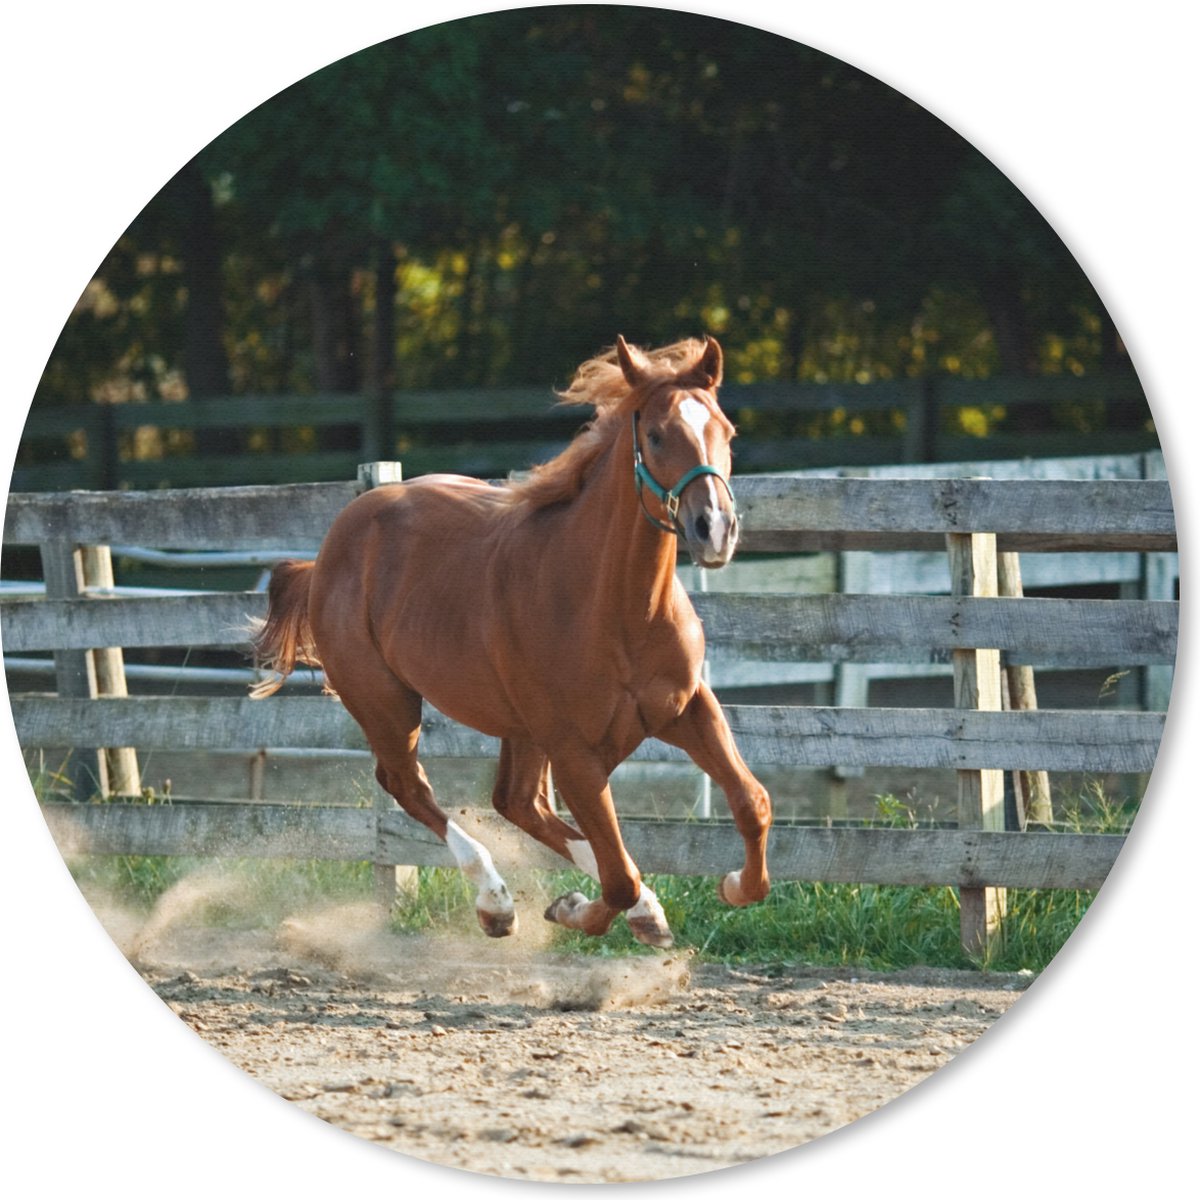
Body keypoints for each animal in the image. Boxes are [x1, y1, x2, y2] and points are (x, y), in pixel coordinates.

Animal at [251, 335, 772, 949]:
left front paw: (732, 887)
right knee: (409, 785)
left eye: (726, 430)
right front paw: (575, 909)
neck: (620, 610)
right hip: (386, 702)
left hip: (517, 730)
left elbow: (751, 803)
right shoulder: (574, 751)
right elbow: (618, 877)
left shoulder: (687, 709)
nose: (714, 529)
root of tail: (333, 545)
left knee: (517, 802)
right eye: (657, 435)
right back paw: (496, 902)